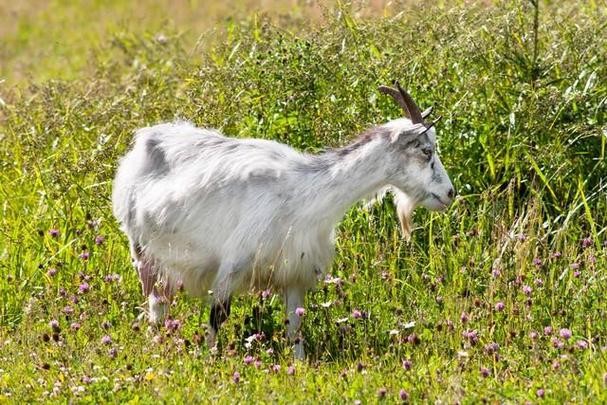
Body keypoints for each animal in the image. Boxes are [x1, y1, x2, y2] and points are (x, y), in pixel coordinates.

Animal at [113, 82, 456, 356]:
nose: (450, 193)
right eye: (426, 151)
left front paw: (300, 365)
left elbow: (294, 325)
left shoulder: (294, 273)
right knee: (155, 304)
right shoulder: (233, 264)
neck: (303, 196)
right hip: (142, 251)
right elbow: (218, 315)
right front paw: (210, 360)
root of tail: (141, 142)